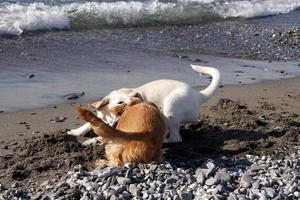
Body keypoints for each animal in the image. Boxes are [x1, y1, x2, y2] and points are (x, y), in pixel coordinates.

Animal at [68, 65, 220, 143]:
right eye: (120, 102)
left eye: (135, 98)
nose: (134, 103)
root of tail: (198, 95)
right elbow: (88, 123)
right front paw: (75, 132)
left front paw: (94, 140)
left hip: (170, 106)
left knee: (176, 138)